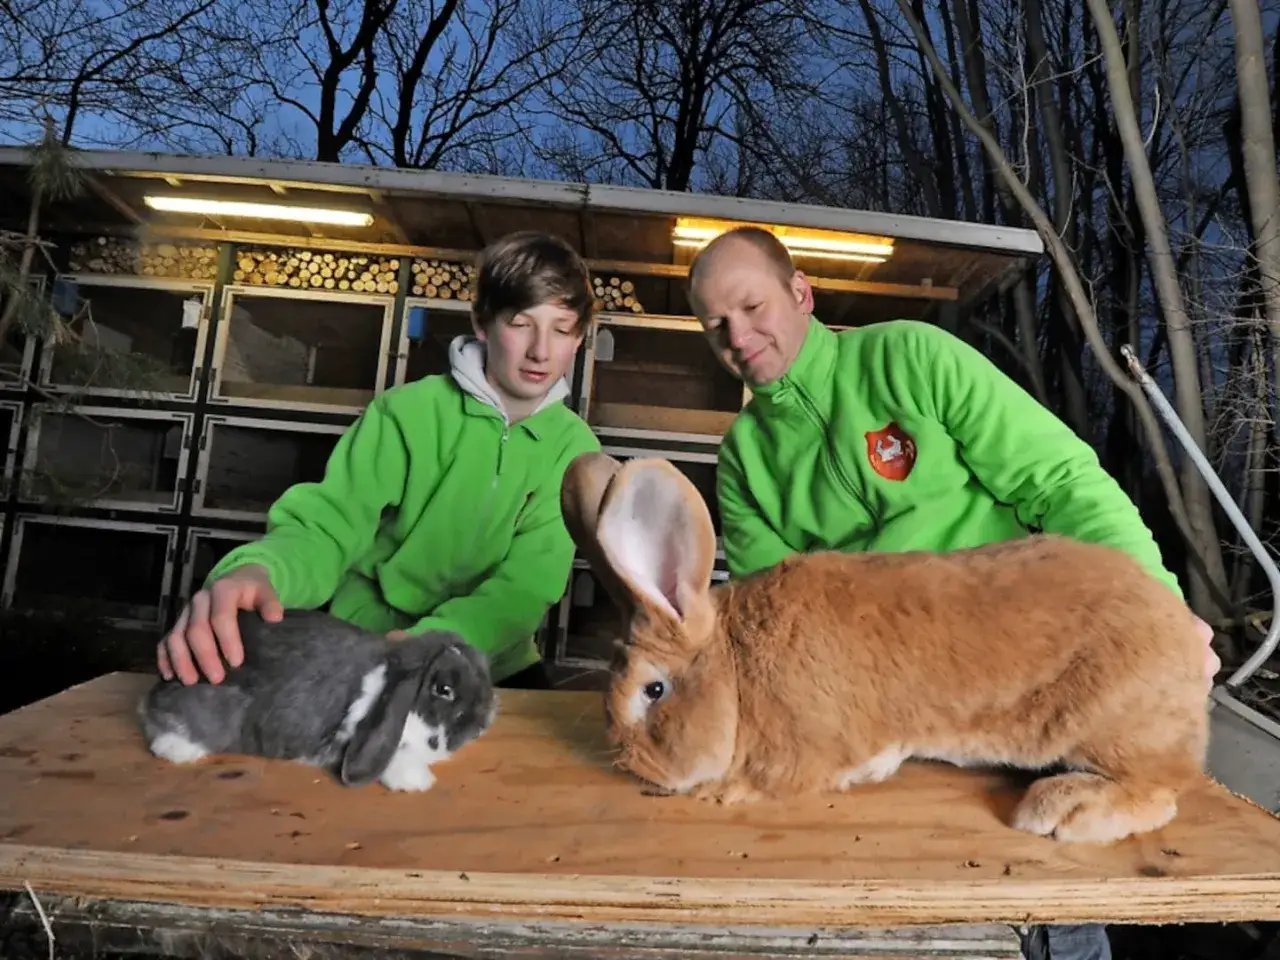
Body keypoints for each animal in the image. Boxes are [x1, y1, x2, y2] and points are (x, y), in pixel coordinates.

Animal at [560, 451, 1210, 845]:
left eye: (654, 690)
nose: (636, 769)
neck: (737, 668)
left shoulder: (805, 742)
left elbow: (779, 780)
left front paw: (723, 791)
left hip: (1112, 725)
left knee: (1163, 788)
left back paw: (1062, 811)